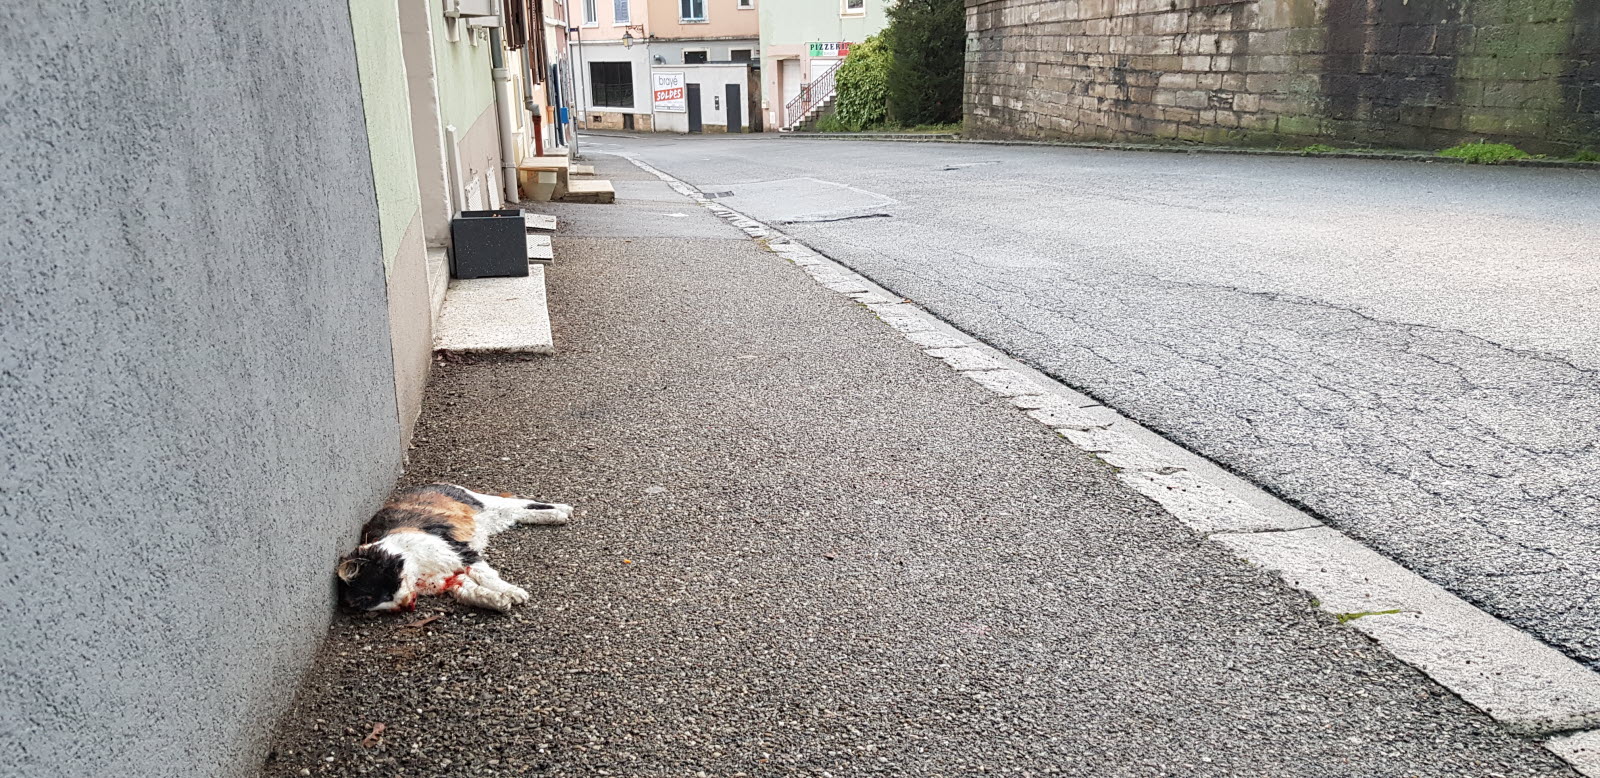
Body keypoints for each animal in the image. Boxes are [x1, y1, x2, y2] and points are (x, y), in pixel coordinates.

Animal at [334, 480, 572, 614]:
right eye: (370, 603)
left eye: (384, 592)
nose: (405, 606)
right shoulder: (451, 579)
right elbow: (473, 592)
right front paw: (497, 601)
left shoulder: (462, 553)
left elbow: (488, 577)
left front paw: (512, 592)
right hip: (498, 518)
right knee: (522, 512)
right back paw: (556, 515)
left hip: (487, 504)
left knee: (524, 502)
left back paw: (562, 510)